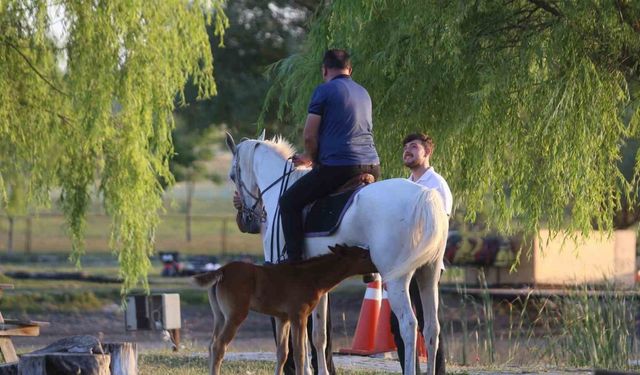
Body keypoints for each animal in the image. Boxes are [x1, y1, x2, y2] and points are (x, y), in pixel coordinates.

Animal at [192, 245, 378, 374]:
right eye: (363, 255)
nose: (377, 266)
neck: (311, 278)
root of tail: (221, 270)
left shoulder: (283, 318)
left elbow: (283, 352)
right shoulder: (299, 315)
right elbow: (299, 353)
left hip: (220, 316)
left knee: (211, 344)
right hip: (235, 315)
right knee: (219, 346)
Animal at [228, 132, 448, 375]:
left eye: (232, 175)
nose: (248, 220)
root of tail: (424, 194)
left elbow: (300, 336)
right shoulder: (315, 284)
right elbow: (318, 335)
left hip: (398, 279)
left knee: (409, 325)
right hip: (428, 275)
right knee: (431, 328)